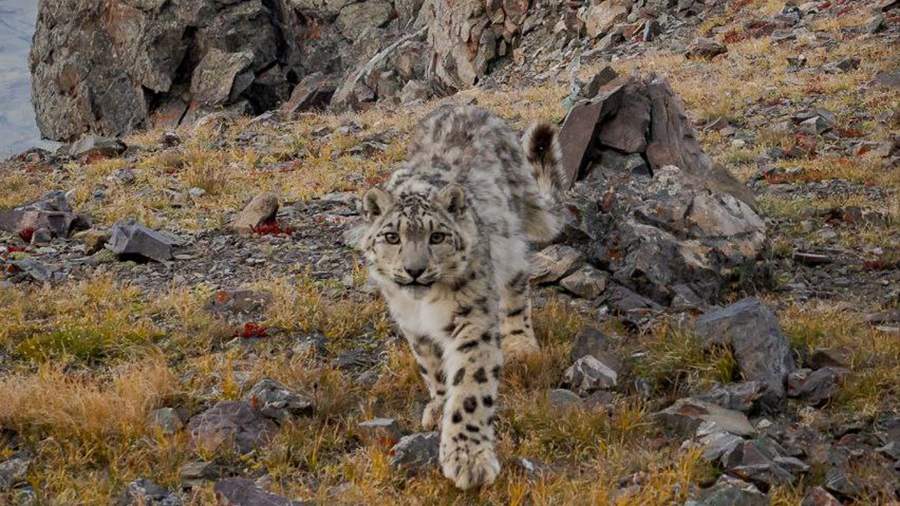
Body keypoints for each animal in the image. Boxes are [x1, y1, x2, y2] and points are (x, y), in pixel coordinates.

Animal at [356, 104, 564, 490]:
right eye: (392, 237)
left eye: (436, 236)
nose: (414, 270)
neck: (423, 306)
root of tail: (469, 105)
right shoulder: (413, 326)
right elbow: (433, 368)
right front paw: (438, 406)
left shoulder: (472, 319)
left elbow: (470, 386)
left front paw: (469, 461)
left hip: (510, 245)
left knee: (516, 289)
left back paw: (521, 343)